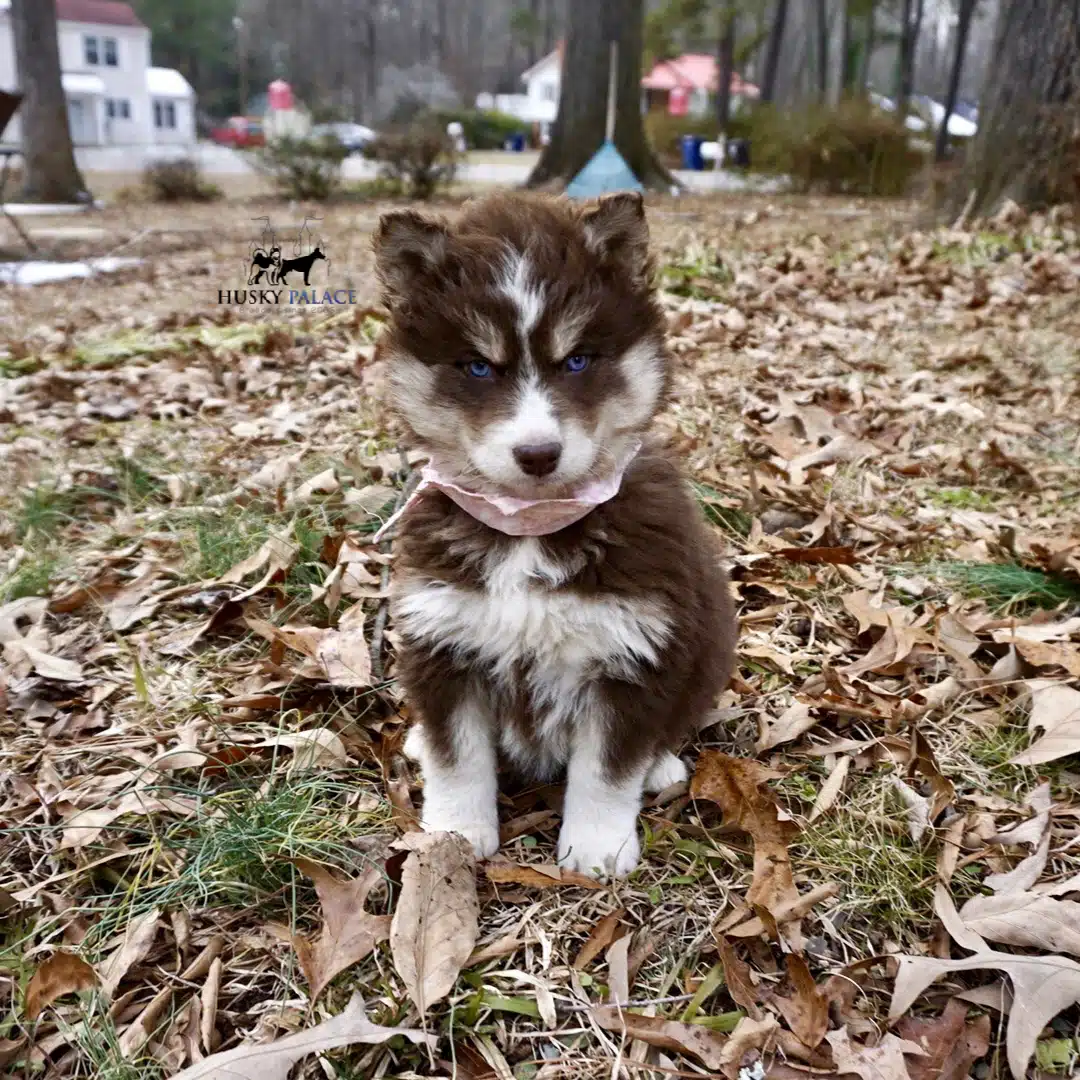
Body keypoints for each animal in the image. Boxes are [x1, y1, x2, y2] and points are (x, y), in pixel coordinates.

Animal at [371, 187, 734, 876]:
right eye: (477, 367)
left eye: (578, 360)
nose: (538, 454)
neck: (529, 528)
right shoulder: (442, 641)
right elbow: (458, 757)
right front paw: (456, 833)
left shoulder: (635, 653)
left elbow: (607, 770)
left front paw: (596, 849)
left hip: (707, 651)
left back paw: (662, 765)